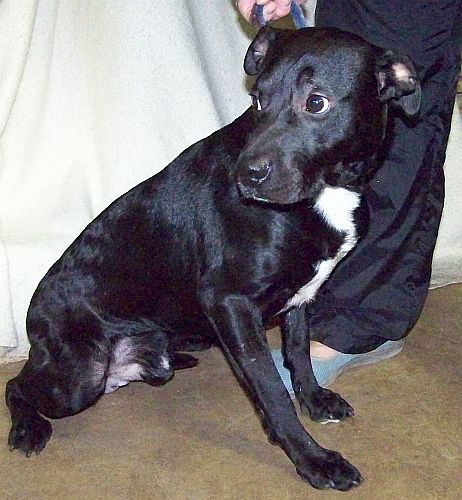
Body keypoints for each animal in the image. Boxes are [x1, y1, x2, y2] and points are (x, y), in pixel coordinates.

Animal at [6, 25, 418, 490]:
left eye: (316, 102)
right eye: (257, 99)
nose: (246, 176)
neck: (326, 192)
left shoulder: (301, 296)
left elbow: (298, 353)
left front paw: (314, 399)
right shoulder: (229, 302)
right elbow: (273, 391)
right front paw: (314, 460)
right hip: (78, 376)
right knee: (16, 385)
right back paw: (27, 427)